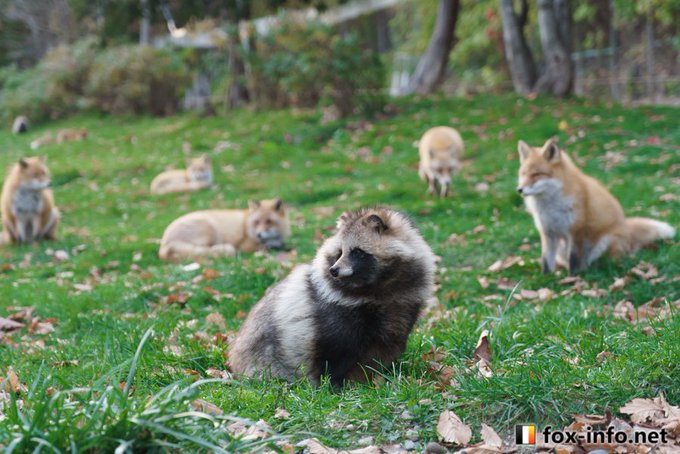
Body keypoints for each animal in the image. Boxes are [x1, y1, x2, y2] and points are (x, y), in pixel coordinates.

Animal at [158, 198, 289, 261]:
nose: (259, 235)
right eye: (257, 222)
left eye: (269, 221)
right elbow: (266, 247)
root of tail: (163, 243)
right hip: (209, 229)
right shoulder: (246, 245)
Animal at [229, 207, 436, 389]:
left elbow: (387, 347)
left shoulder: (402, 309)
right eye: (339, 252)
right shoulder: (330, 314)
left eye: (357, 252)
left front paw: (379, 375)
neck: (374, 288)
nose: (333, 270)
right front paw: (334, 384)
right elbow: (332, 351)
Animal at [517, 138, 675, 275]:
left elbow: (574, 259)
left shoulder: (576, 230)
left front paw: (573, 278)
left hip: (605, 243)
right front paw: (546, 279)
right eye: (523, 174)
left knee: (606, 261)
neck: (550, 206)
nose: (519, 190)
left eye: (536, 174)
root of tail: (627, 228)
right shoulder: (547, 232)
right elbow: (546, 261)